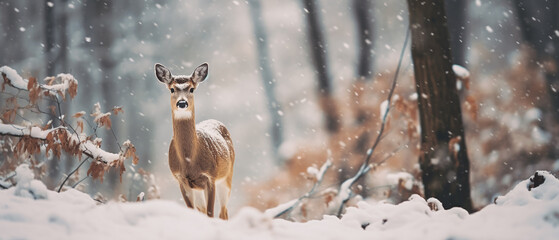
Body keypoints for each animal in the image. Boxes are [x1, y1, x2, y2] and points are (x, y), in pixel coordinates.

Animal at [155, 62, 236, 219]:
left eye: (191, 89)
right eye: (172, 89)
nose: (182, 103)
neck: (189, 160)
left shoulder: (210, 177)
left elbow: (211, 213)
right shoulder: (181, 180)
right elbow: (193, 211)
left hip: (227, 176)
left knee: (223, 213)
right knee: (205, 211)